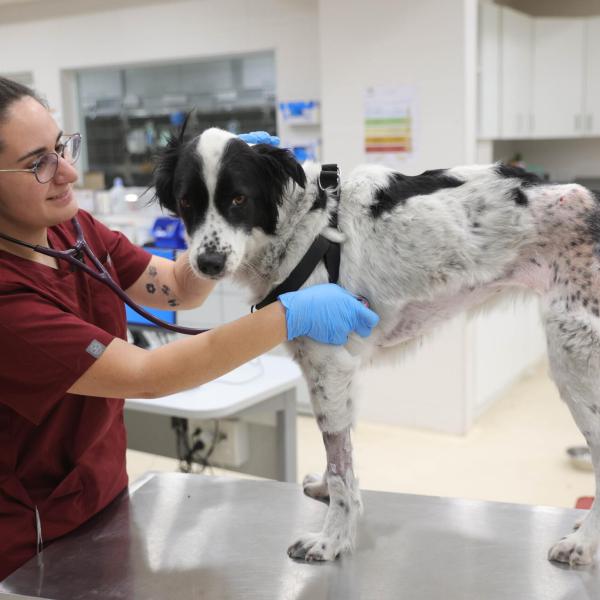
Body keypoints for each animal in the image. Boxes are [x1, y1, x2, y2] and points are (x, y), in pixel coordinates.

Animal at [156, 126, 600, 568]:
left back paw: (583, 543)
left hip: (573, 355)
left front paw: (333, 539)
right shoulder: (332, 370)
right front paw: (329, 494)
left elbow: (340, 464)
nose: (208, 263)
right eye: (186, 201)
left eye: (238, 199)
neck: (300, 226)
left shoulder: (329, 364)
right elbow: (340, 452)